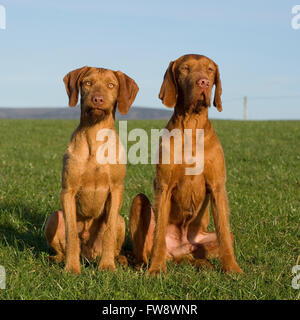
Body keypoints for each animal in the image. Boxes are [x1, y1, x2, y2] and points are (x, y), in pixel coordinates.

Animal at [44, 66, 138, 274]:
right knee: (63, 244)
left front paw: (108, 265)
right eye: (87, 83)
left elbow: (109, 231)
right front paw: (71, 267)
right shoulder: (68, 191)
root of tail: (87, 256)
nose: (97, 99)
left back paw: (118, 259)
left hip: (121, 220)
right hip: (54, 217)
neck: (95, 134)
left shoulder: (116, 189)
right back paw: (58, 258)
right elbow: (71, 233)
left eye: (111, 85)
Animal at [129, 55, 244, 276]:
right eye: (185, 69)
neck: (192, 125)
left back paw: (202, 263)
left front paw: (233, 269)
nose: (203, 82)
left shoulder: (218, 187)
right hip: (139, 203)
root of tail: (177, 251)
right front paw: (156, 269)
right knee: (146, 252)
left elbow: (225, 234)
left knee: (198, 253)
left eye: (210, 70)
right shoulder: (164, 187)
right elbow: (158, 237)